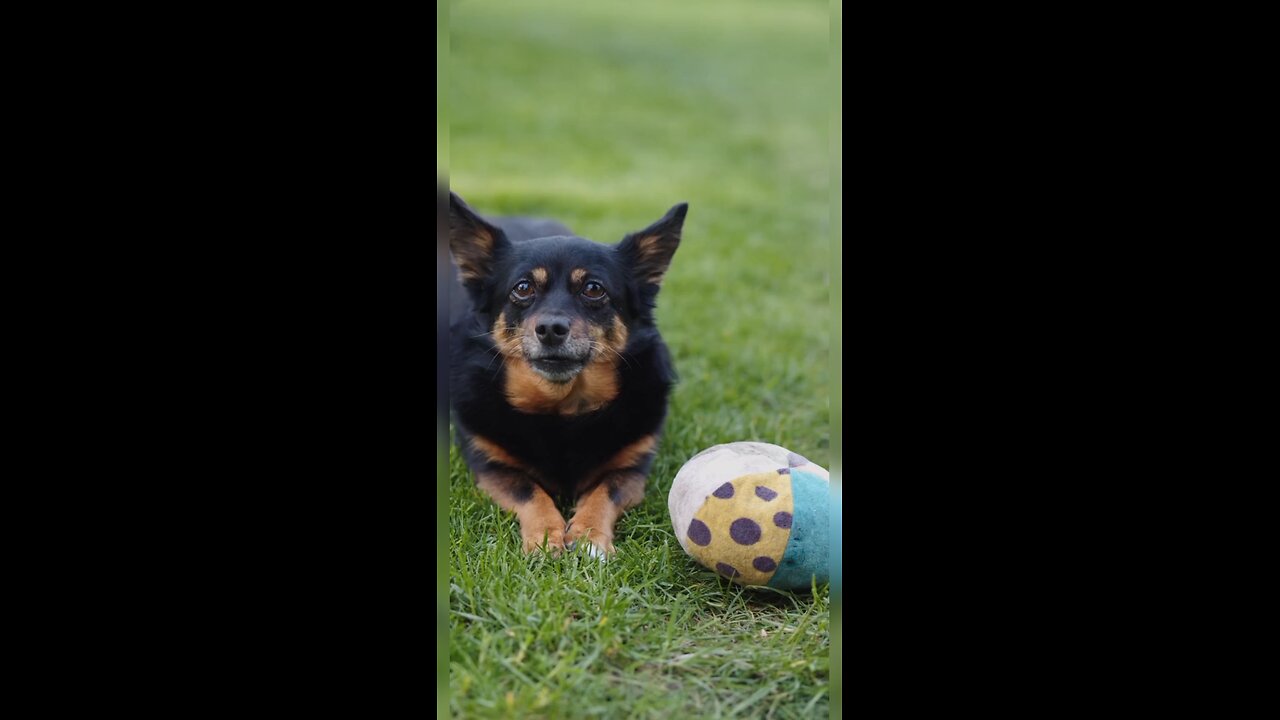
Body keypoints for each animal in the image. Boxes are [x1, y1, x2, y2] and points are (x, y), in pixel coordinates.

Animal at [450, 190, 691, 556]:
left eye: (593, 288)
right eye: (523, 288)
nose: (550, 329)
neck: (560, 410)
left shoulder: (632, 467)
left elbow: (604, 492)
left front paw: (589, 536)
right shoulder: (490, 465)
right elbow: (529, 490)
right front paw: (546, 535)